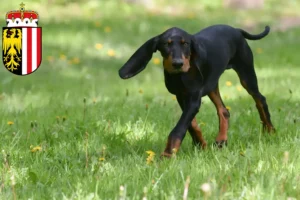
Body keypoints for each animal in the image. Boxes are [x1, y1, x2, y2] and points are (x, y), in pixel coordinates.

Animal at [118, 24, 276, 157]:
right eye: (166, 44)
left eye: (186, 44)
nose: (178, 64)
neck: (180, 76)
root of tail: (236, 29)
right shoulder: (181, 96)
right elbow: (191, 124)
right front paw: (201, 145)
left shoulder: (193, 99)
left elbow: (180, 127)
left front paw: (168, 153)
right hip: (212, 84)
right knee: (224, 110)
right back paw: (221, 140)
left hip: (246, 73)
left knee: (260, 99)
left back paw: (269, 130)